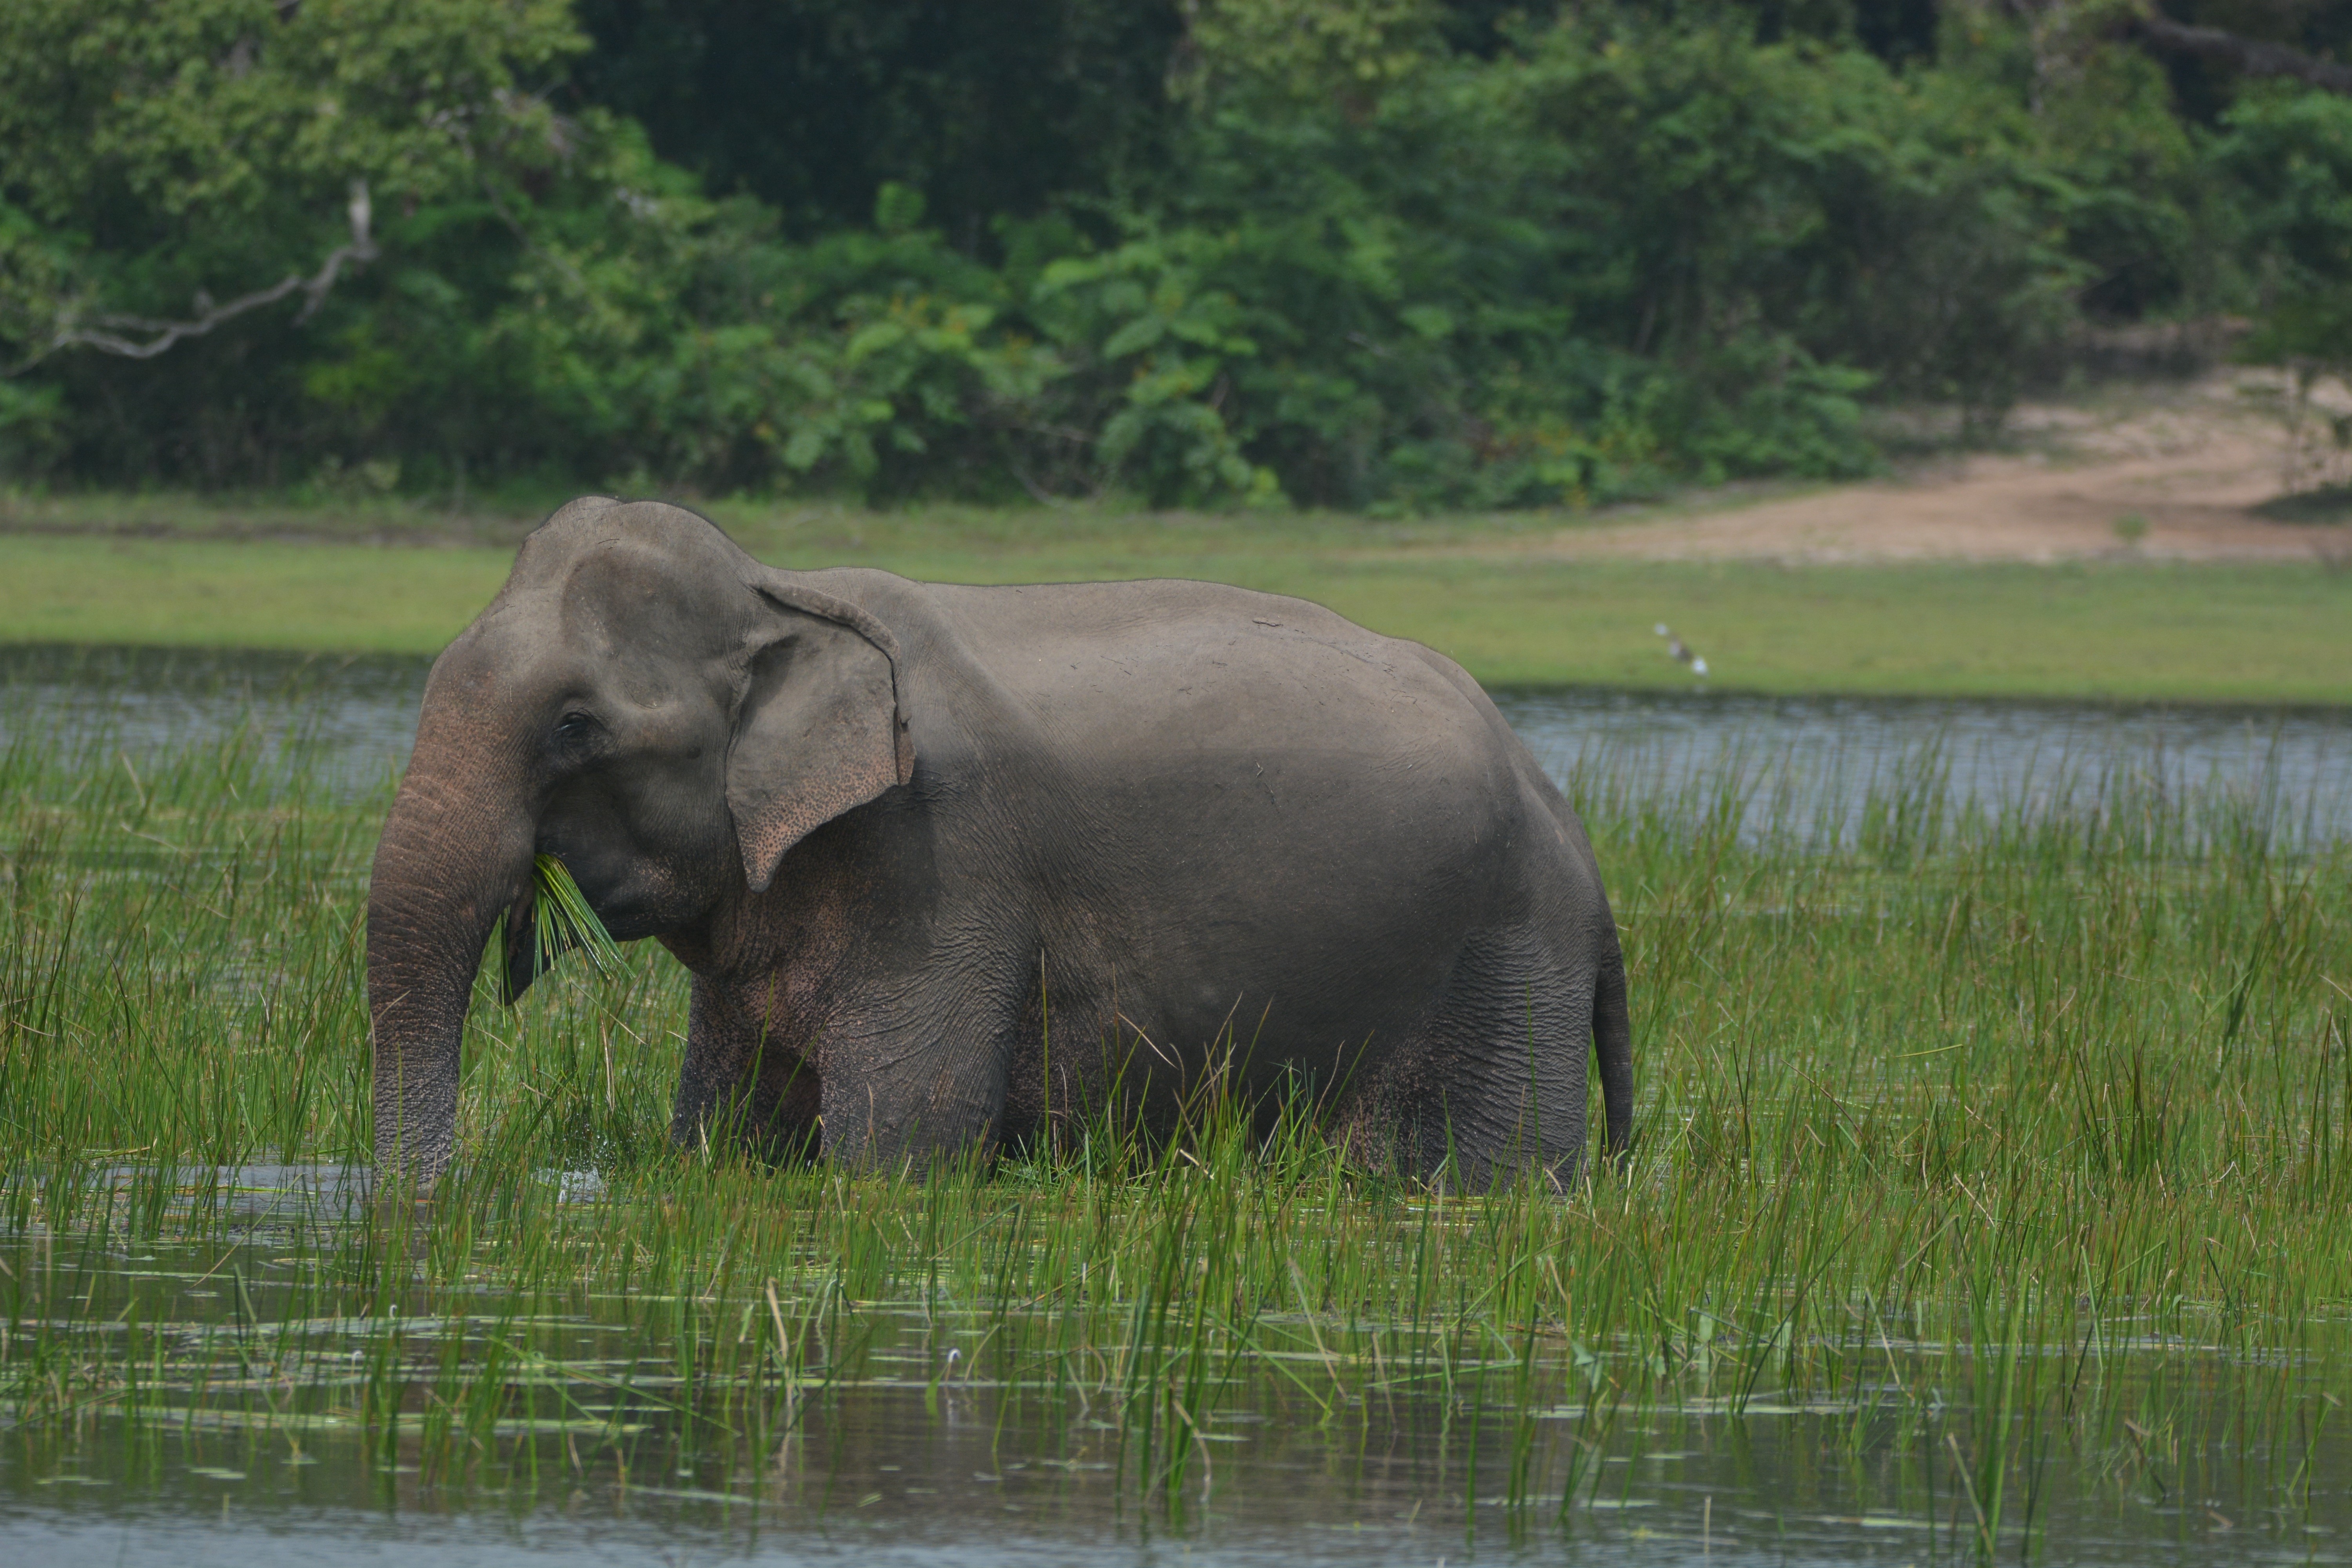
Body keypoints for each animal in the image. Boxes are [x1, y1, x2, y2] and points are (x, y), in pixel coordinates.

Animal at [366, 497, 1633, 1189]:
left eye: (574, 726)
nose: (440, 1197)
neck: (788, 591)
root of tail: (1571, 825)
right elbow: (727, 1136)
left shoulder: (936, 865)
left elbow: (901, 1146)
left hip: (1505, 976)